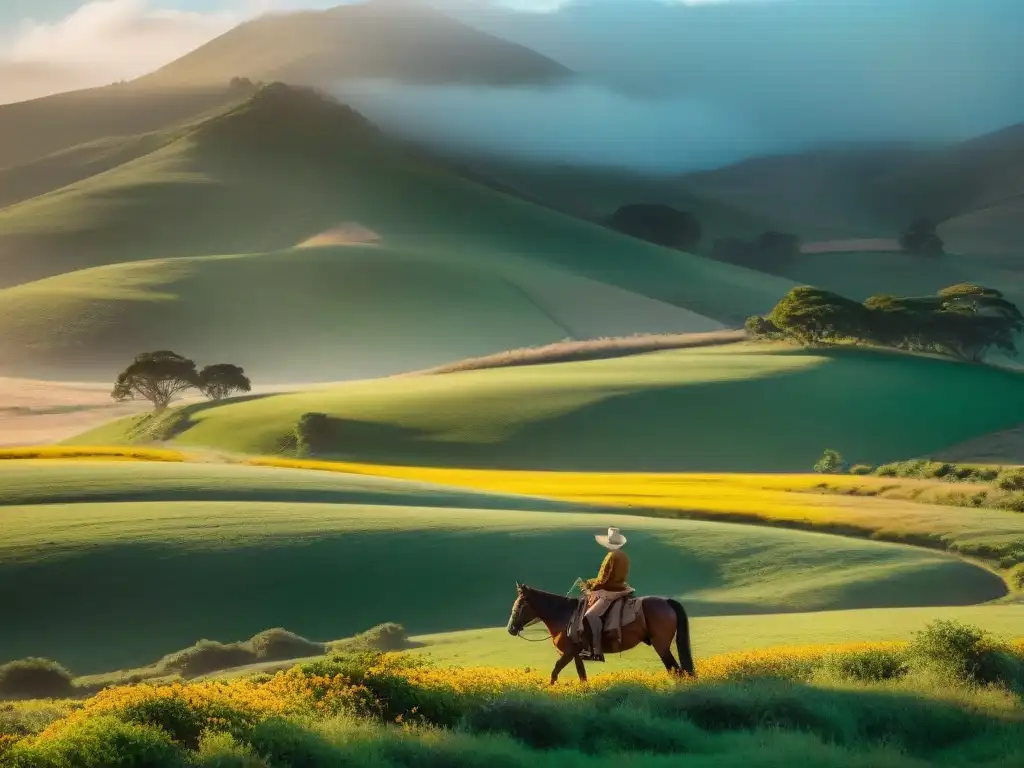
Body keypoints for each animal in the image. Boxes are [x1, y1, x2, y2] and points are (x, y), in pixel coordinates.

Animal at [505, 581, 696, 684]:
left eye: (520, 604)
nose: (511, 629)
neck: (563, 615)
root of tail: (667, 601)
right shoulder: (576, 654)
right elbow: (582, 676)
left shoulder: (568, 652)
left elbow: (555, 671)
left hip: (661, 646)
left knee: (677, 671)